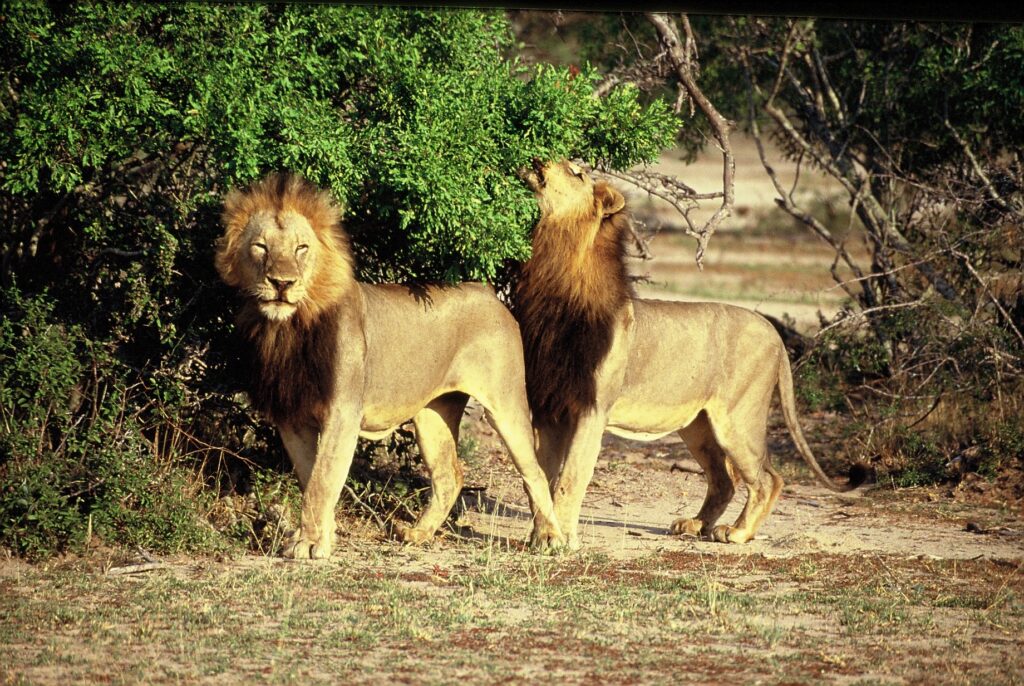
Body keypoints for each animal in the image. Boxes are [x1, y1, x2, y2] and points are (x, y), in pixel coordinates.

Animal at [214, 172, 564, 559]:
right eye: (260, 247)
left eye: (301, 248)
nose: (281, 283)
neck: (288, 328)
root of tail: (488, 291)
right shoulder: (291, 417)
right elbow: (311, 479)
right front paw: (323, 537)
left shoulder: (343, 412)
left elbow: (322, 480)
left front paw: (308, 544)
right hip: (433, 413)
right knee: (449, 475)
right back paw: (417, 534)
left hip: (504, 402)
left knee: (534, 471)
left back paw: (550, 538)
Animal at [512, 159, 866, 549]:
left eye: (575, 171)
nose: (539, 160)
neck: (557, 275)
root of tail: (771, 329)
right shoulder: (549, 407)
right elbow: (539, 475)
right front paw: (542, 535)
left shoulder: (592, 408)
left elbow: (570, 478)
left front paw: (561, 540)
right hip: (699, 427)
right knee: (725, 479)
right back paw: (696, 525)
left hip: (738, 419)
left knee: (767, 477)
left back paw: (737, 532)